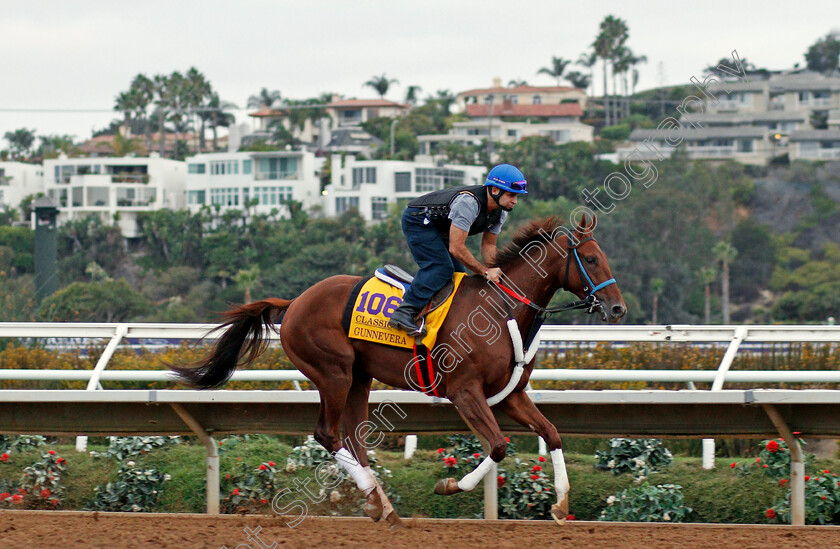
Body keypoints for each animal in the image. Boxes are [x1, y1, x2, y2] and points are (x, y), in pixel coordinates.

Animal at [171, 212, 628, 524]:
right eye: (590, 259)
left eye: (604, 256)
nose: (617, 309)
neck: (501, 309)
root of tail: (295, 301)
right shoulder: (464, 391)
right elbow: (498, 446)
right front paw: (449, 485)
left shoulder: (510, 395)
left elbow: (551, 433)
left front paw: (562, 504)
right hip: (333, 372)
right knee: (328, 434)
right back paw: (376, 499)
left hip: (360, 378)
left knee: (353, 438)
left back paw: (381, 504)